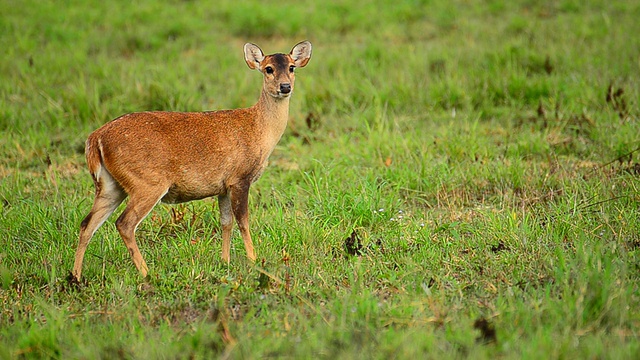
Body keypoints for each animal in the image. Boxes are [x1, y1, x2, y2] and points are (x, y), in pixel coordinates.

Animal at [72, 40, 312, 282]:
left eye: (291, 67)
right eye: (268, 69)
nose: (285, 87)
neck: (260, 130)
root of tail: (95, 139)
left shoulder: (224, 186)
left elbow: (226, 222)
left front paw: (225, 262)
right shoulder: (240, 178)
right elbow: (243, 222)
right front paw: (254, 262)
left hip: (110, 185)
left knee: (87, 224)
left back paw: (76, 277)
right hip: (147, 182)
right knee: (124, 223)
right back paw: (147, 274)